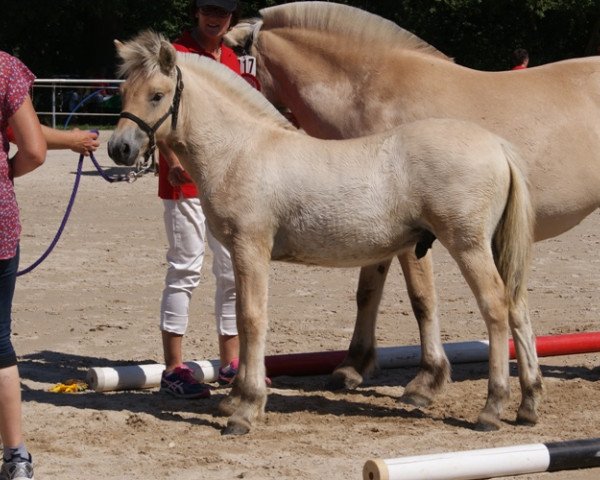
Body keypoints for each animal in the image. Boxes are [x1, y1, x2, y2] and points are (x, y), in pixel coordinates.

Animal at [224, 0, 600, 406]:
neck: (370, 90)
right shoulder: (373, 226)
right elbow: (367, 292)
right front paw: (353, 365)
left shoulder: (415, 237)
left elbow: (422, 298)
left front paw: (427, 379)